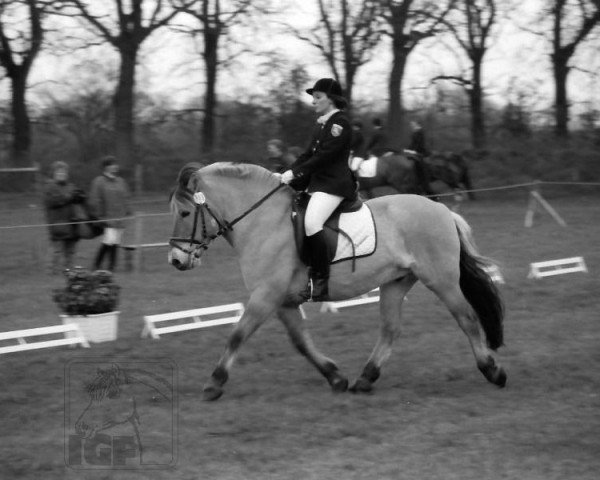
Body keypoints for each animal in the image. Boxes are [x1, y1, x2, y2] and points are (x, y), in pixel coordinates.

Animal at [169, 162, 506, 402]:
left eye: (185, 213)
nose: (176, 260)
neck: (262, 221)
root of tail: (441, 209)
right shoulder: (283, 301)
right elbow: (301, 342)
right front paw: (335, 377)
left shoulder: (266, 296)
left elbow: (237, 335)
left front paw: (213, 384)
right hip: (396, 281)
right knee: (390, 329)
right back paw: (365, 379)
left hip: (441, 279)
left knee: (467, 318)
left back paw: (493, 371)